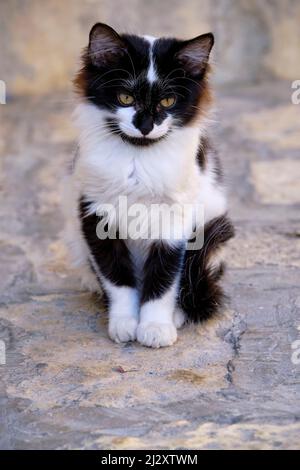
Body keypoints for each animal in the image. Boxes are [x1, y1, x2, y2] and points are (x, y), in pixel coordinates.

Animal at [65, 23, 234, 348]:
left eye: (167, 101)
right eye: (125, 98)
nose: (145, 126)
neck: (137, 159)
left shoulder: (174, 223)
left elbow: (163, 282)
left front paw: (155, 327)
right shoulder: (95, 217)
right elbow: (117, 280)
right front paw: (124, 323)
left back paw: (177, 316)